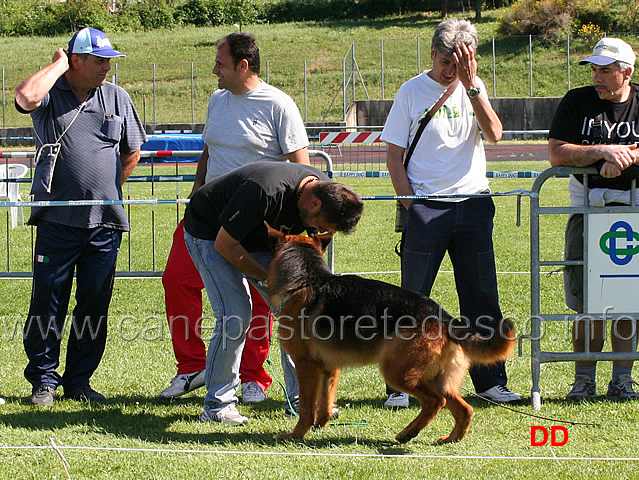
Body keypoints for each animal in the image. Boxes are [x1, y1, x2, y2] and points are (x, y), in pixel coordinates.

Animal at [264, 225, 516, 442]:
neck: (305, 281)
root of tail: (443, 316)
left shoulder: (306, 366)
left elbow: (308, 406)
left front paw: (297, 434)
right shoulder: (329, 369)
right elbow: (324, 402)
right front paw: (320, 425)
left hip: (397, 372)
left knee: (436, 402)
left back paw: (408, 433)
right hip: (437, 379)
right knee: (464, 409)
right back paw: (450, 439)